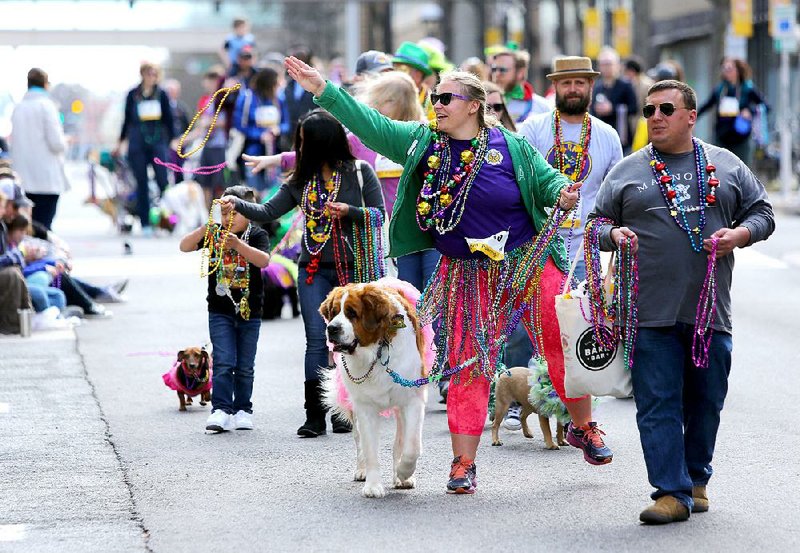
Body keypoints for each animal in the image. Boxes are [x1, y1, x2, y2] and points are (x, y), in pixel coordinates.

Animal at [318, 276, 432, 496]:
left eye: (351, 313)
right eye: (334, 312)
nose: (332, 328)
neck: (376, 350)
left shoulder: (412, 400)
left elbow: (412, 446)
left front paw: (404, 472)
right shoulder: (365, 406)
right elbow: (370, 447)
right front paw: (372, 485)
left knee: (400, 441)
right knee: (359, 439)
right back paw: (362, 470)